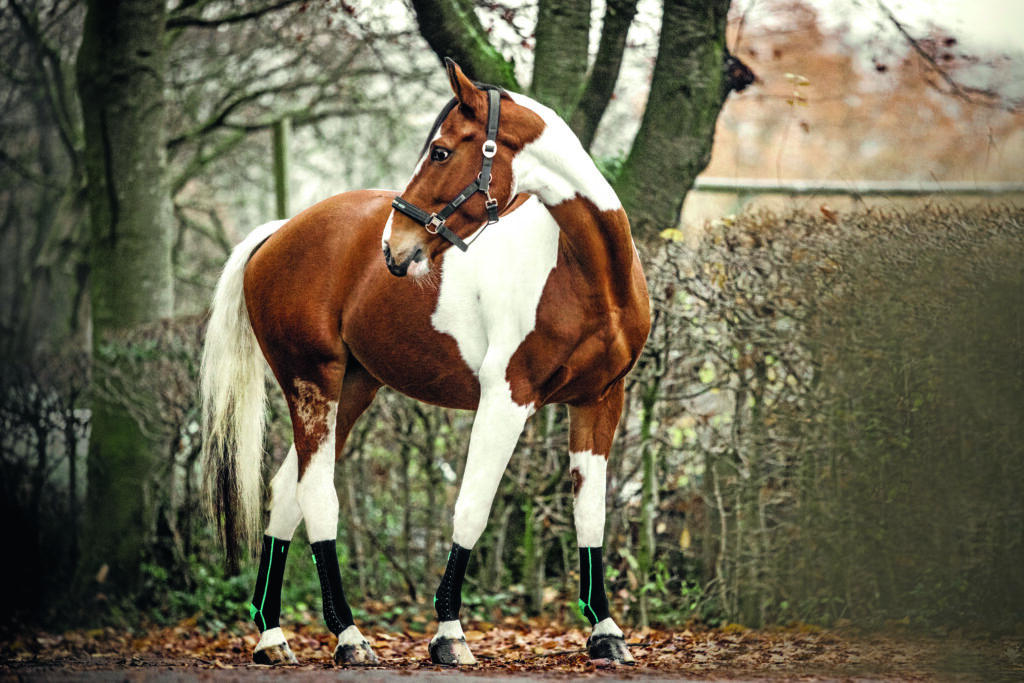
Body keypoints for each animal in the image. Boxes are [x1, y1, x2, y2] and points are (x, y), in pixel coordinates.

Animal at [200, 58, 650, 667]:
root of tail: (278, 233)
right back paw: (348, 638)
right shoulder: (507, 399)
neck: (588, 271)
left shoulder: (599, 400)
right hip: (312, 384)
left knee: (285, 491)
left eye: (440, 151)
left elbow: (592, 514)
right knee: (316, 495)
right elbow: (472, 507)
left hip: (353, 390)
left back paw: (272, 635)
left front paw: (605, 630)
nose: (396, 247)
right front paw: (449, 634)